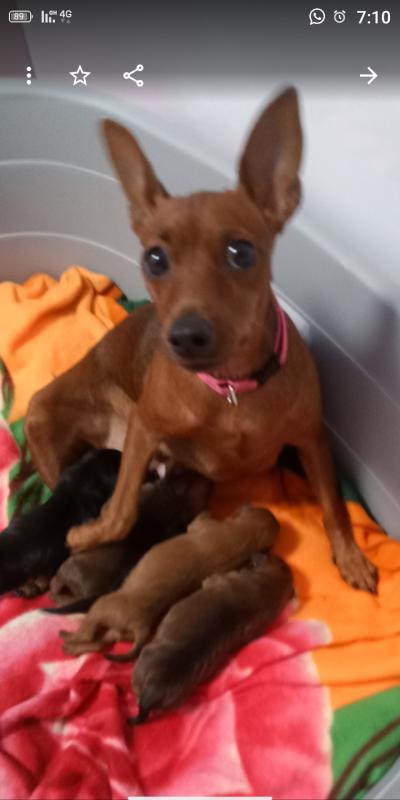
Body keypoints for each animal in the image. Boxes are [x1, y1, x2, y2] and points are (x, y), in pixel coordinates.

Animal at [24, 87, 376, 592]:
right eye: (154, 259)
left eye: (241, 252)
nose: (187, 336)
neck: (232, 392)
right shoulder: (145, 428)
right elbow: (121, 512)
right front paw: (91, 534)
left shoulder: (312, 439)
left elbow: (333, 506)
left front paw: (349, 556)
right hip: (41, 418)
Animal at [60, 505, 279, 656]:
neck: (243, 538)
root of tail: (142, 626)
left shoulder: (203, 526)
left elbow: (198, 520)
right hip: (116, 632)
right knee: (98, 643)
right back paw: (72, 648)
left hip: (101, 608)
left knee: (88, 633)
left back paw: (68, 636)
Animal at [121, 553, 293, 723]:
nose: (255, 554)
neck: (271, 584)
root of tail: (151, 693)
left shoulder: (217, 580)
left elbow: (210, 579)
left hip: (140, 667)